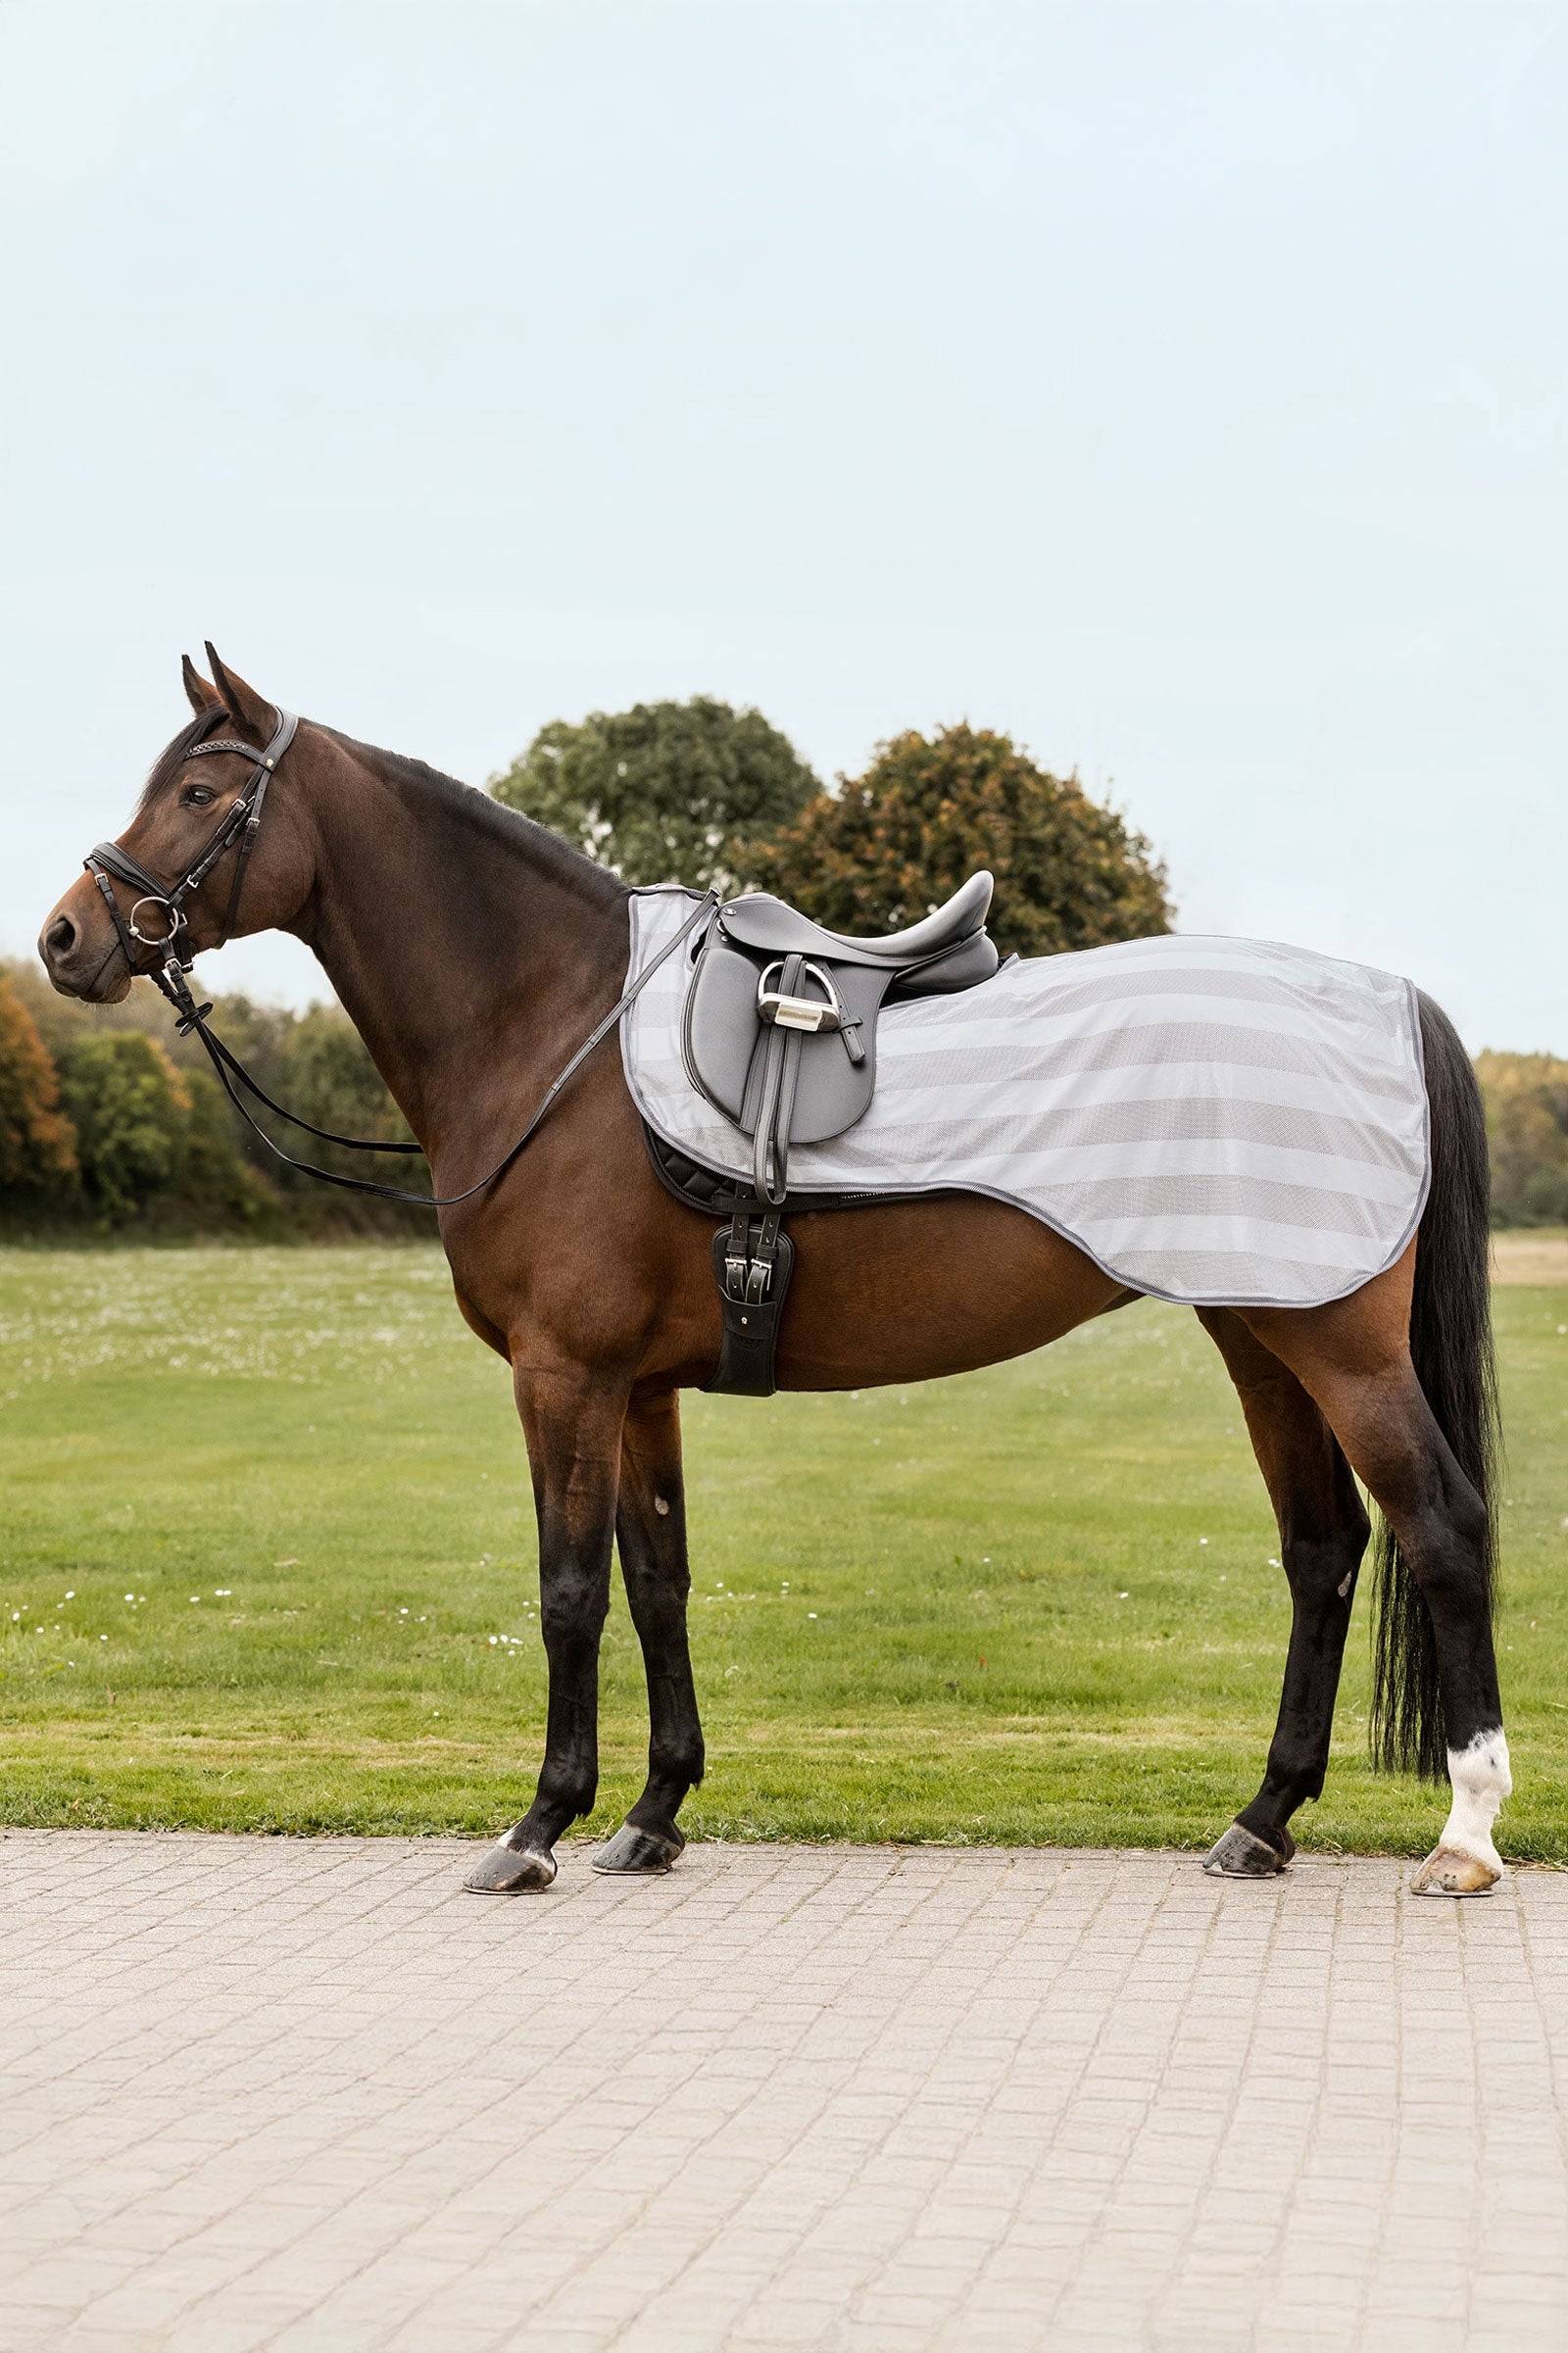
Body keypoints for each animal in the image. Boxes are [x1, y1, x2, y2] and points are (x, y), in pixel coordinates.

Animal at [38, 651, 1509, 1899]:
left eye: (200, 792)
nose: (65, 939)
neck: (556, 1026)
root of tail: (1388, 998)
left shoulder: (564, 1375)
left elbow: (568, 1591)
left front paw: (537, 1825)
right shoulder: (636, 1388)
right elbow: (656, 1581)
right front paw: (651, 1814)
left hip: (1337, 1346)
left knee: (1439, 1526)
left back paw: (1465, 1834)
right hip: (1259, 1335)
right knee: (1323, 1550)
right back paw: (1263, 1818)